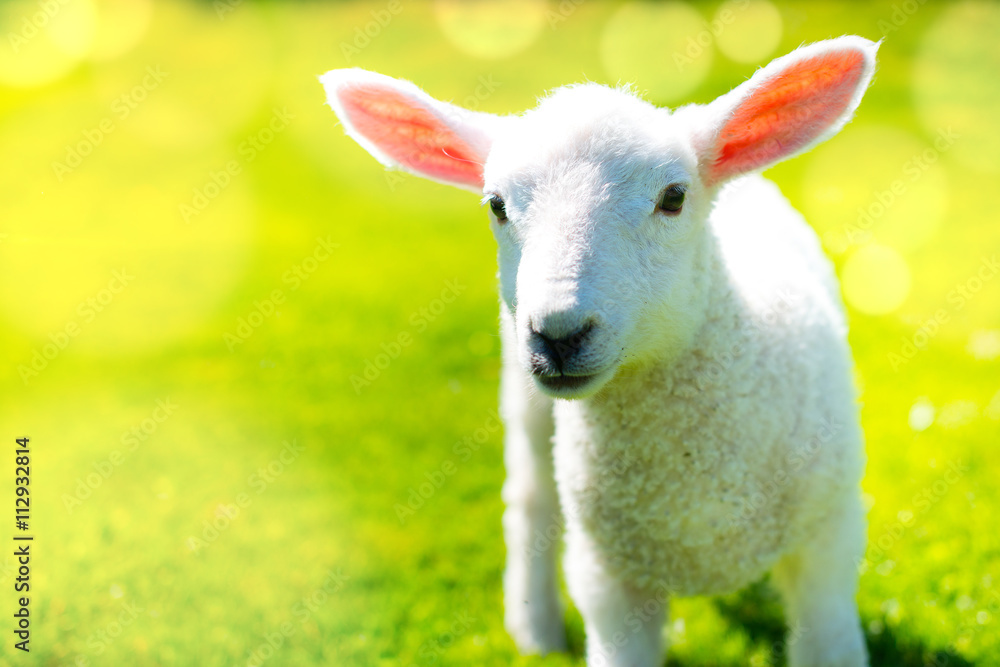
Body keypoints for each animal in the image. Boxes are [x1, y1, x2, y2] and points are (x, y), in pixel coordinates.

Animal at [321, 35, 878, 667]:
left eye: (673, 197)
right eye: (496, 205)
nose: (558, 334)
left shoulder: (828, 544)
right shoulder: (608, 577)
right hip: (528, 408)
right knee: (531, 500)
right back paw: (535, 628)